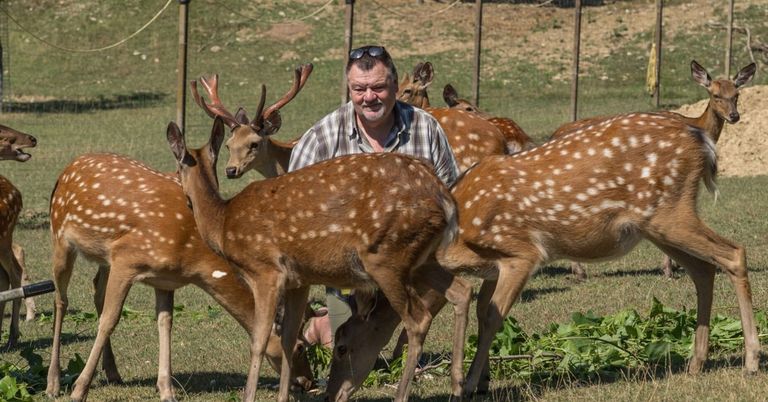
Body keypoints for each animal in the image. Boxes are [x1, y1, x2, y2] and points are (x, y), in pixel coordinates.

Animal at [166, 116, 472, 402]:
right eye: (228, 147)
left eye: (178, 166)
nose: (177, 188)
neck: (222, 224)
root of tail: (443, 195)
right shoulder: (298, 280)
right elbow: (289, 338)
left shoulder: (264, 271)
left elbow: (259, 340)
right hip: (423, 259)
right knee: (461, 291)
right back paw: (457, 386)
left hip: (386, 256)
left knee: (418, 318)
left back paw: (404, 394)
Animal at [327, 111, 760, 398]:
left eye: (342, 344)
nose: (334, 392)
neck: (453, 240)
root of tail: (701, 138)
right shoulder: (491, 268)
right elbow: (484, 312)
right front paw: (480, 380)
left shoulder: (521, 253)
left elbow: (492, 316)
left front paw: (471, 384)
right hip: (658, 224)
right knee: (703, 271)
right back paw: (695, 363)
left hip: (671, 212)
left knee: (734, 253)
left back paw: (752, 361)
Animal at [551, 60, 756, 280]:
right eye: (715, 95)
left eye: (736, 94)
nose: (734, 116)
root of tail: (554, 134)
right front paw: (669, 269)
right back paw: (579, 272)